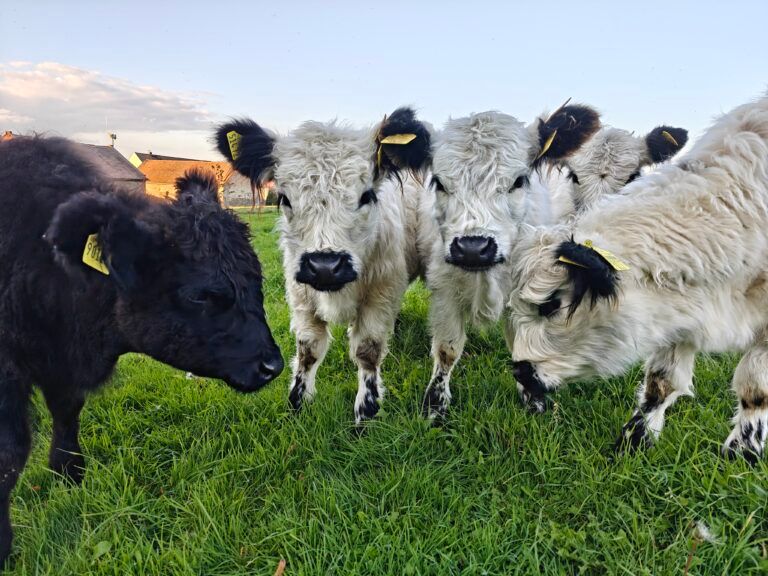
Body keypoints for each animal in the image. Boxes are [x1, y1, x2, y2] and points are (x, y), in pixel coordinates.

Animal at [0, 136, 284, 566]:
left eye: (256, 277)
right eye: (200, 295)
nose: (273, 364)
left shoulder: (63, 369)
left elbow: (66, 416)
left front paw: (69, 476)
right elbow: (10, 453)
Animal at [215, 108, 431, 426]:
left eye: (367, 195)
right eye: (284, 198)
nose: (325, 265)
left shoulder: (381, 293)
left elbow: (368, 350)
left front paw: (366, 414)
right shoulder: (301, 296)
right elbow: (308, 349)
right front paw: (297, 404)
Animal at [416, 103, 601, 419]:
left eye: (519, 180)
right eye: (438, 182)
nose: (473, 248)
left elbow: (523, 349)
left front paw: (533, 399)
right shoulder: (444, 289)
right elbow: (446, 350)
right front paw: (434, 407)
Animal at [507, 95, 768, 463]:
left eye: (552, 305)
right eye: (573, 176)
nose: (519, 371)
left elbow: (755, 388)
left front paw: (742, 452)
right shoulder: (679, 310)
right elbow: (661, 382)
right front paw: (634, 442)